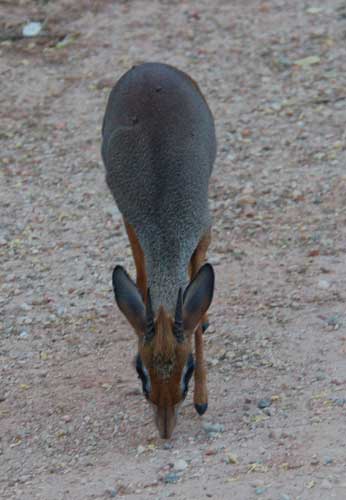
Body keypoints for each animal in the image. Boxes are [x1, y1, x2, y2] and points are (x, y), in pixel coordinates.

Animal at [101, 61, 216, 438]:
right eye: (140, 369)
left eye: (188, 369)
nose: (165, 429)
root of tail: (148, 66)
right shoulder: (133, 222)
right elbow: (139, 273)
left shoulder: (203, 233)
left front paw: (202, 399)